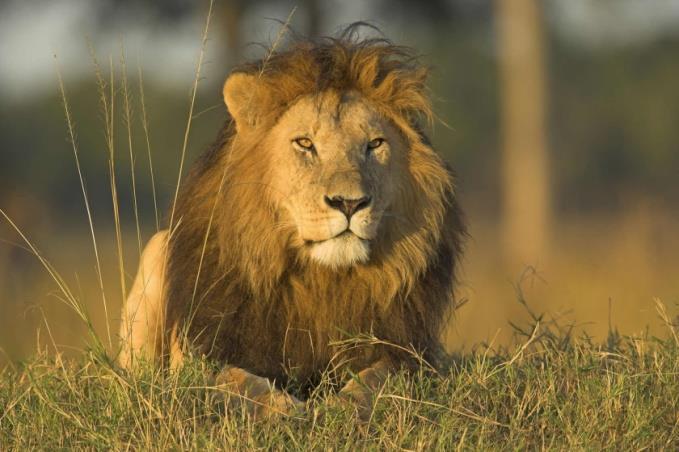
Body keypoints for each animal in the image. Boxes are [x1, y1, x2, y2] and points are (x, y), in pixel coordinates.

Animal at [118, 26, 468, 418]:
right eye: (305, 143)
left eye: (375, 144)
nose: (350, 203)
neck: (322, 280)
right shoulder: (205, 351)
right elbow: (238, 382)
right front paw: (286, 410)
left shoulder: (408, 352)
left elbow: (378, 378)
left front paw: (341, 408)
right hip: (157, 250)